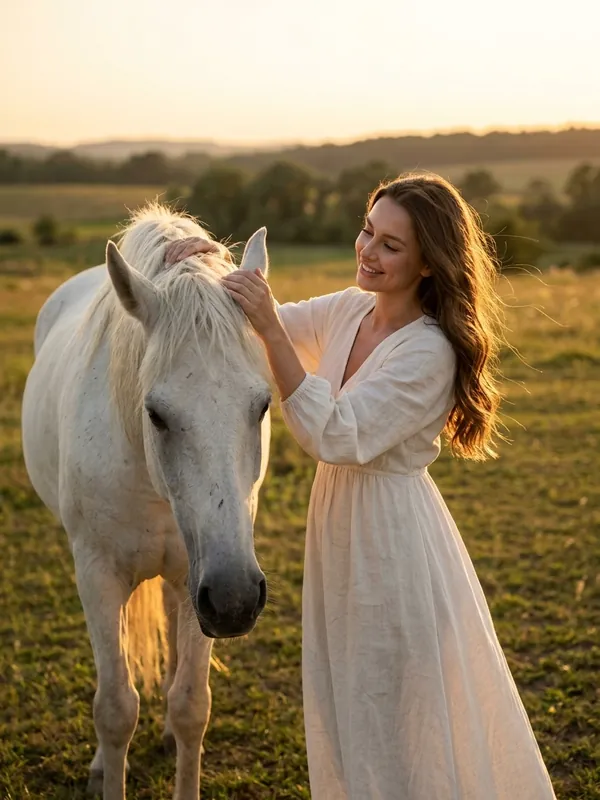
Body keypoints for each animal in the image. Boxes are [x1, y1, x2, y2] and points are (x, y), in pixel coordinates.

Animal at [21, 204, 273, 799]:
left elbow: (191, 706)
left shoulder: (200, 576)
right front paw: (108, 768)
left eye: (263, 405)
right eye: (155, 413)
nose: (236, 600)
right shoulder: (98, 574)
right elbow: (114, 709)